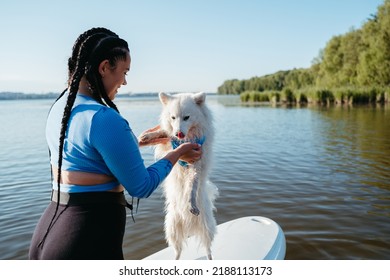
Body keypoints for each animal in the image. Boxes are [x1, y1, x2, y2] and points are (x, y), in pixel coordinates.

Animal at [140, 92, 219, 260]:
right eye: (173, 118)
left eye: (186, 117)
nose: (178, 133)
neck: (187, 138)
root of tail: (189, 225)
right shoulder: (170, 143)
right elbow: (164, 133)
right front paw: (149, 135)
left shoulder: (196, 165)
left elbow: (191, 186)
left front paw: (191, 202)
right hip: (172, 229)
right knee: (178, 250)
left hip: (206, 227)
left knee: (208, 249)